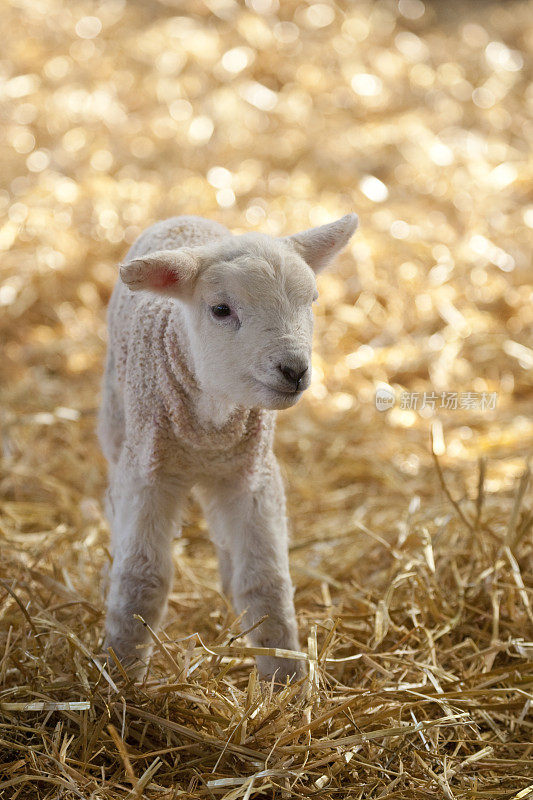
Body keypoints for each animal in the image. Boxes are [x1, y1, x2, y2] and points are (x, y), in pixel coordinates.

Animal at [98, 212, 358, 680]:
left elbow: (265, 580)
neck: (211, 424)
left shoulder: (252, 478)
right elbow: (142, 580)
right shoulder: (148, 473)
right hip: (116, 428)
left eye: (311, 300)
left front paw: (284, 679)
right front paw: (120, 675)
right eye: (221, 309)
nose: (294, 369)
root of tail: (185, 217)